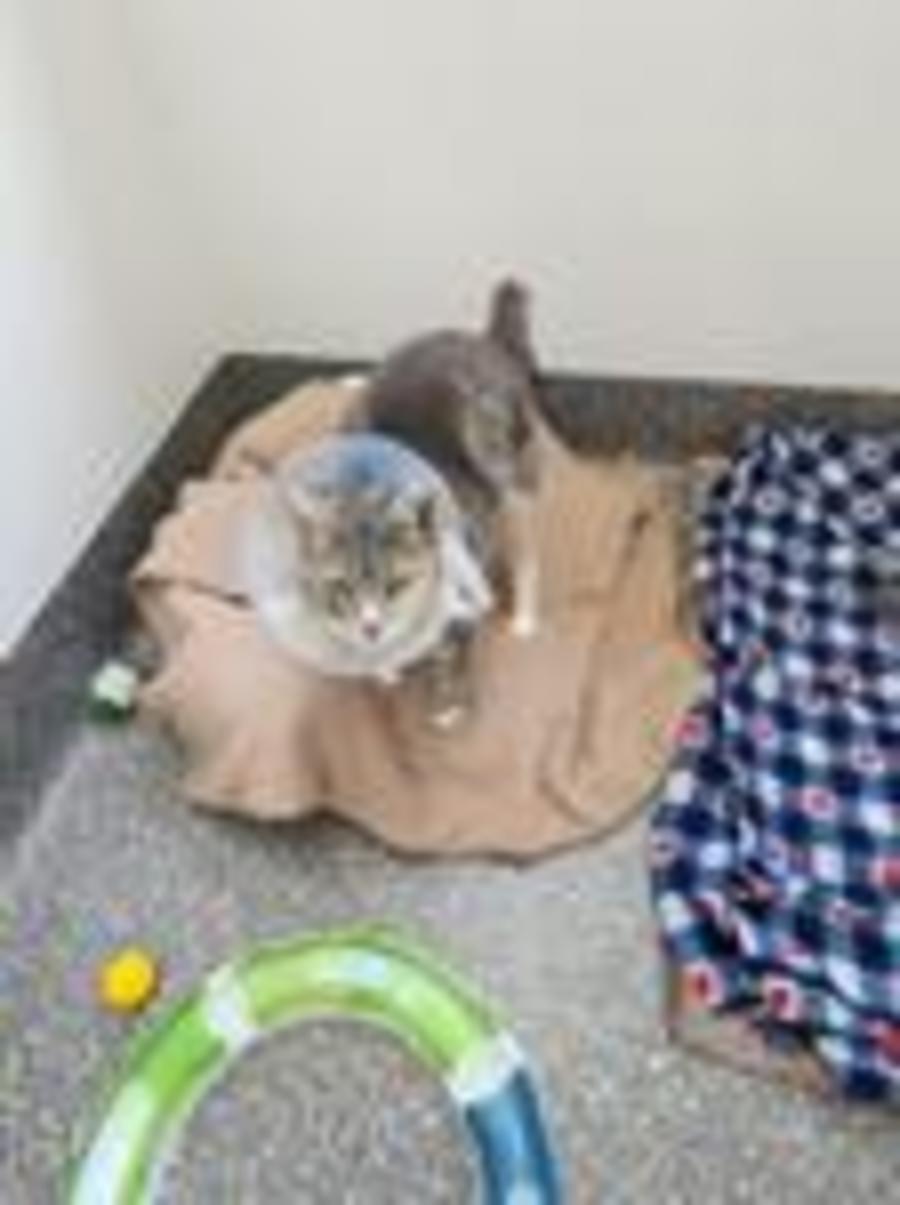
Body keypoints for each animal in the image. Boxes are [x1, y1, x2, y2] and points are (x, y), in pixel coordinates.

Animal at [288, 279, 543, 727]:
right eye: (341, 588)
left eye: (395, 584)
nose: (371, 628)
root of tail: (483, 338)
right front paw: (384, 668)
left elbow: (452, 650)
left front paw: (447, 705)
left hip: (508, 467)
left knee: (525, 544)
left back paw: (524, 618)